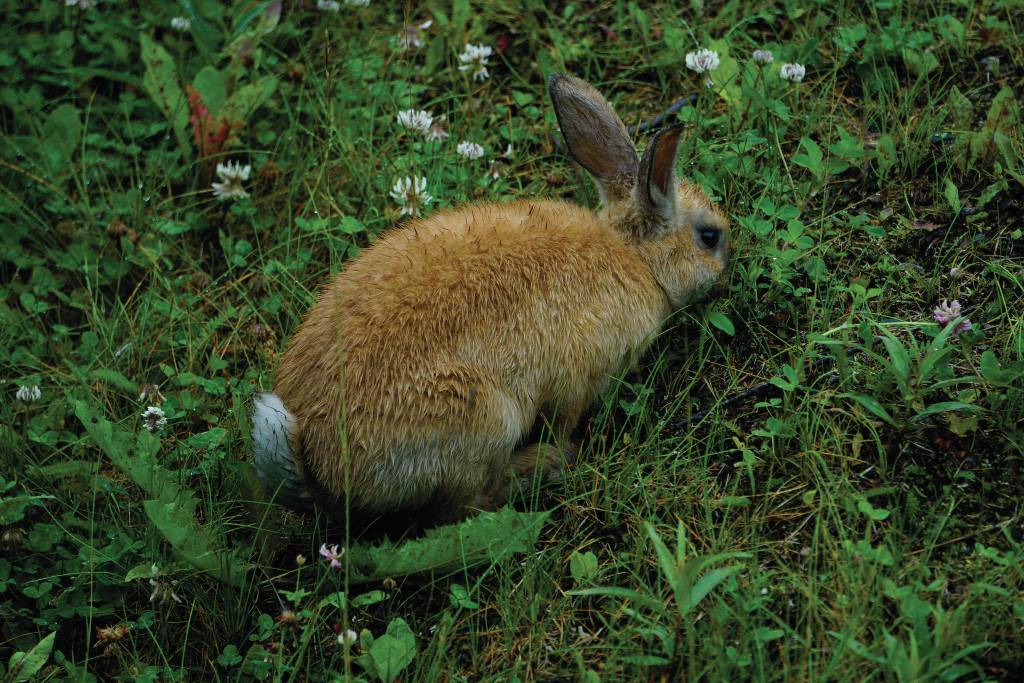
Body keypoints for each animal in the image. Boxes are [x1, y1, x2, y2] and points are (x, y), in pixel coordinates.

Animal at [251, 73, 731, 526]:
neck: (635, 255)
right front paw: (562, 448)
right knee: (459, 510)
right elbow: (565, 418)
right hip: (485, 419)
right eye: (710, 237)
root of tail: (322, 469)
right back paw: (541, 467)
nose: (727, 275)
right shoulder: (578, 379)